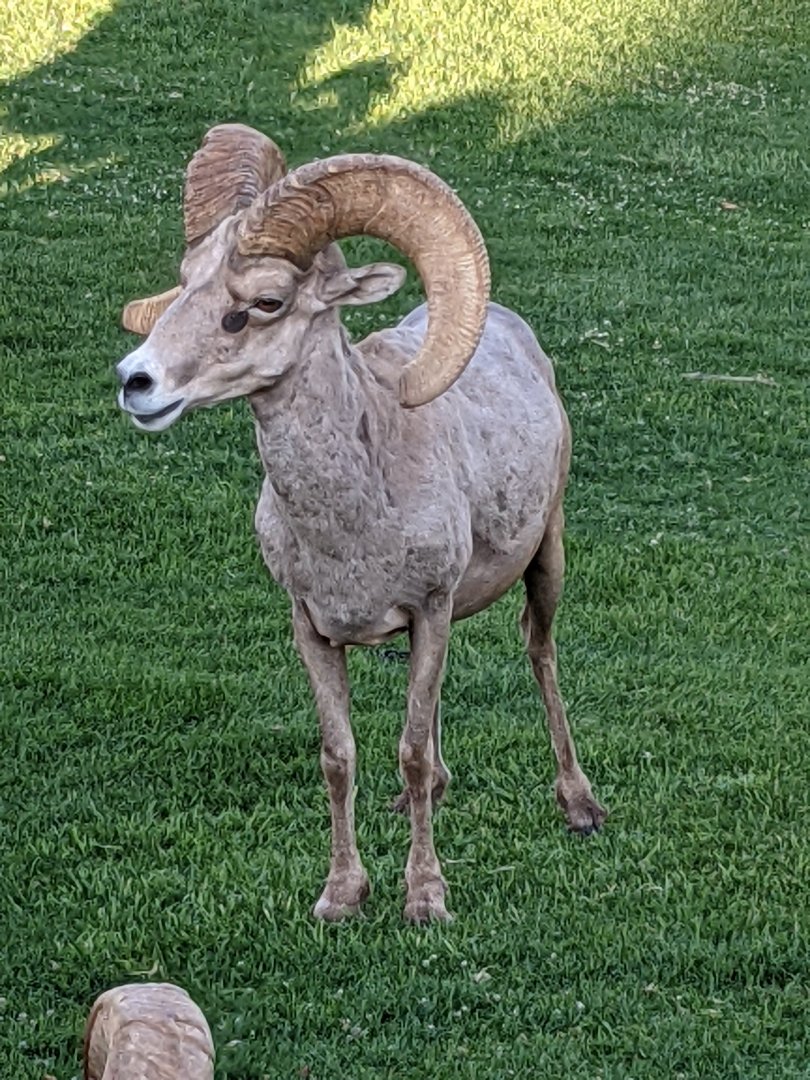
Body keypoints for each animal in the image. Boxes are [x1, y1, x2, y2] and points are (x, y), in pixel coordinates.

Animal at [116, 123, 606, 923]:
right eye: (187, 280)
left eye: (266, 300)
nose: (136, 382)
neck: (352, 526)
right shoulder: (315, 629)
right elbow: (341, 756)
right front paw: (341, 895)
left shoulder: (429, 609)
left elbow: (408, 750)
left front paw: (425, 898)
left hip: (548, 559)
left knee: (539, 651)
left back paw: (579, 805)